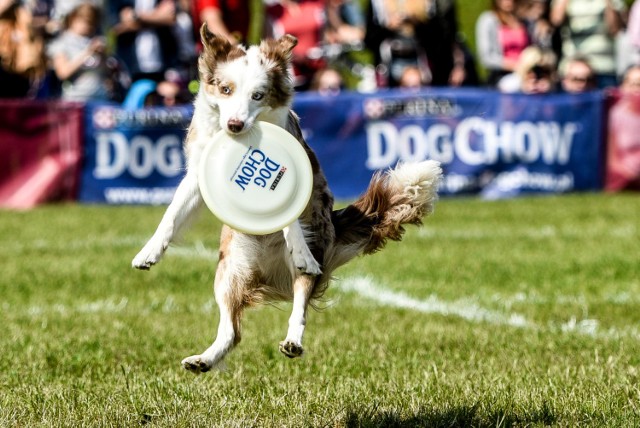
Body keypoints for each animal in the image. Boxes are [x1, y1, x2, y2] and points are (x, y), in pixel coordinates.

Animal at [132, 25, 442, 374]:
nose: (235, 125)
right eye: (226, 89)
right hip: (228, 270)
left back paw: (293, 339)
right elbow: (171, 215)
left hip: (310, 255)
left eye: (258, 95)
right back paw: (204, 359)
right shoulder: (199, 173)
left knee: (300, 304)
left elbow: (290, 216)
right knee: (231, 331)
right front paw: (148, 253)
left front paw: (297, 245)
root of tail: (269, 273)